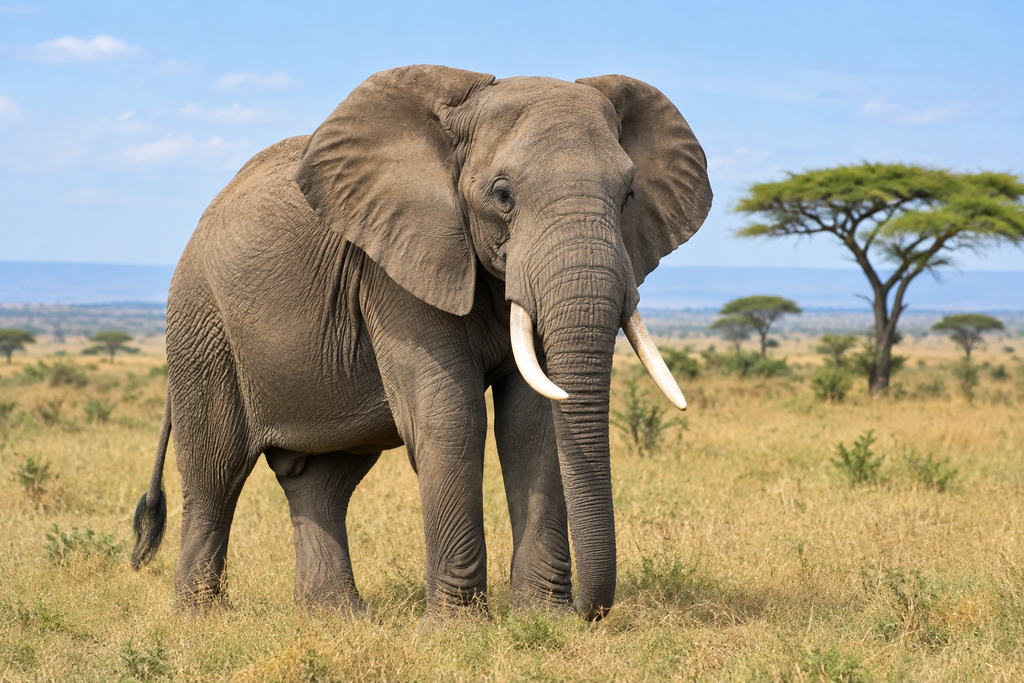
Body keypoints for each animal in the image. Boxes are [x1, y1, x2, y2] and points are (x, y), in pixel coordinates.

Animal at [130, 65, 712, 623]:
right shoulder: (396, 264)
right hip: (202, 323)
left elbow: (533, 426)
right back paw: (201, 621)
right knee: (215, 473)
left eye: (629, 195)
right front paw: (459, 630)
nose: (590, 614)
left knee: (322, 479)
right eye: (503, 194)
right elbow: (452, 420)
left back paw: (337, 621)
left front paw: (545, 621)